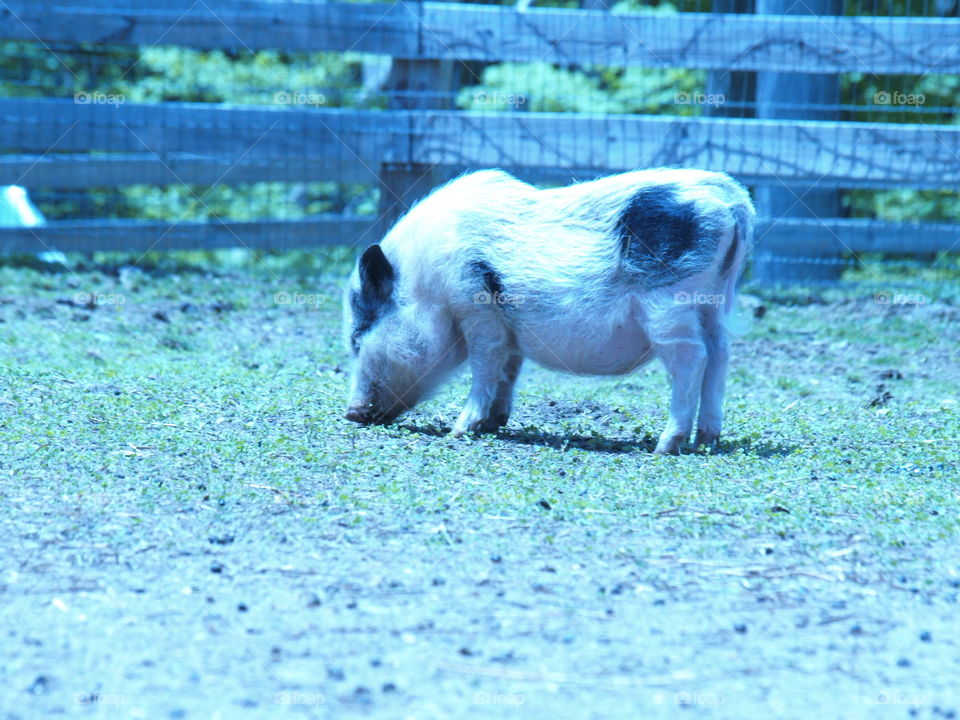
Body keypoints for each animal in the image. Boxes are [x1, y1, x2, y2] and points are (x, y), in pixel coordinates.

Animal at [343, 168, 755, 454]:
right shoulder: (507, 326)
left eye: (358, 337)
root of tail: (730, 199)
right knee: (720, 355)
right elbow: (509, 370)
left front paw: (459, 431)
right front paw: (493, 424)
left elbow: (485, 365)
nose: (351, 413)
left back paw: (664, 446)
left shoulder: (475, 307)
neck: (424, 285)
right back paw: (707, 440)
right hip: (717, 302)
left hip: (669, 303)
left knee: (692, 358)